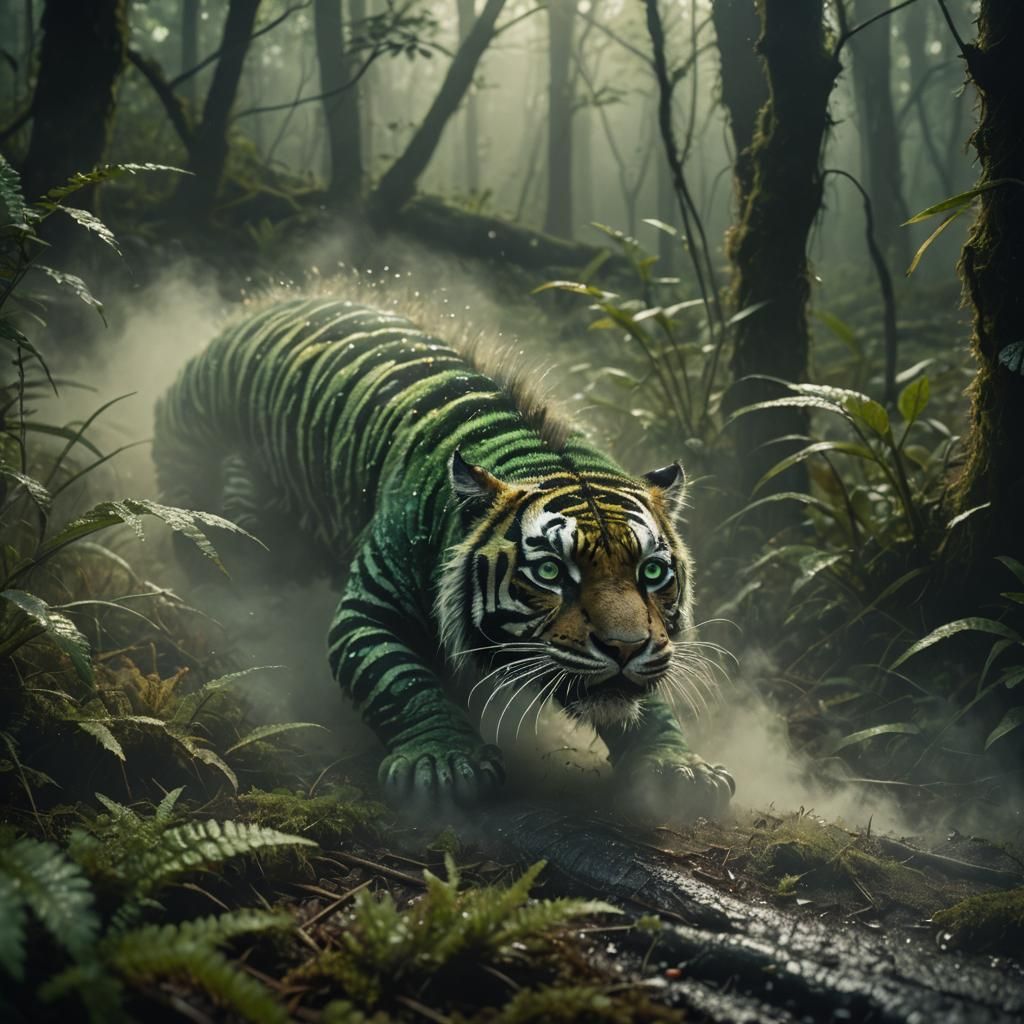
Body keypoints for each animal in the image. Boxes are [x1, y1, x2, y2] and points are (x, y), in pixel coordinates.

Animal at [153, 295, 734, 818]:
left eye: (652, 572)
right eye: (550, 571)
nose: (625, 648)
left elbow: (648, 701)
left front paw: (678, 767)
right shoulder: (369, 610)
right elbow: (397, 680)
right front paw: (444, 762)